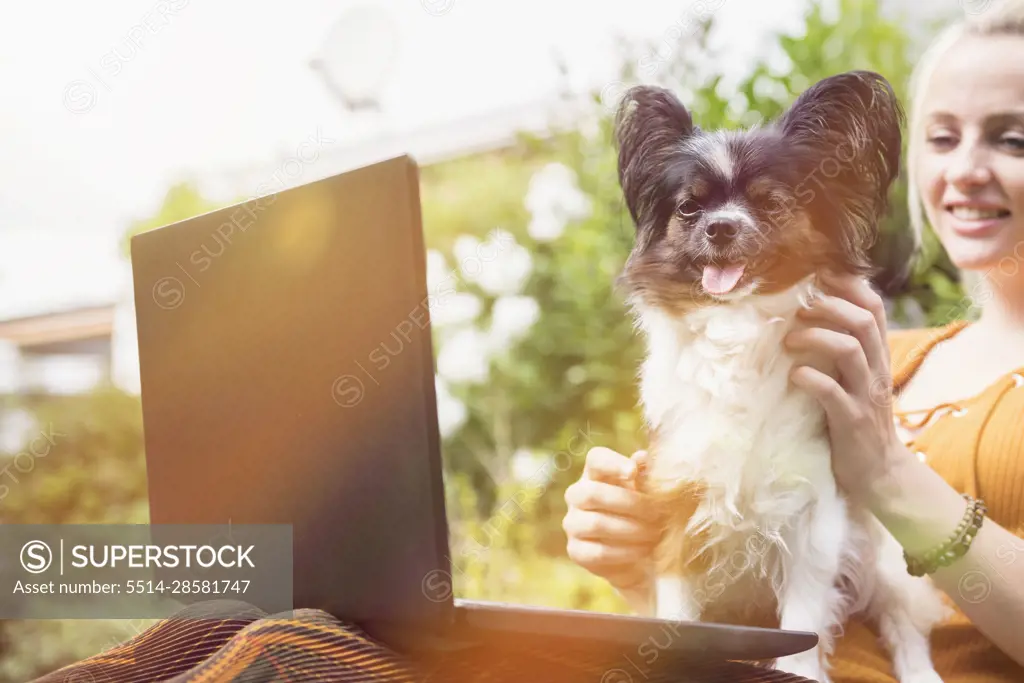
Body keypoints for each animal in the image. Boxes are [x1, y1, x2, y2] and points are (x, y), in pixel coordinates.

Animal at [606, 72, 950, 679]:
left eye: (770, 203)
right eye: (689, 209)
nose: (720, 227)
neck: (738, 326)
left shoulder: (815, 516)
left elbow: (804, 621)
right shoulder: (676, 506)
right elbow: (675, 611)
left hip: (882, 554)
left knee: (903, 624)